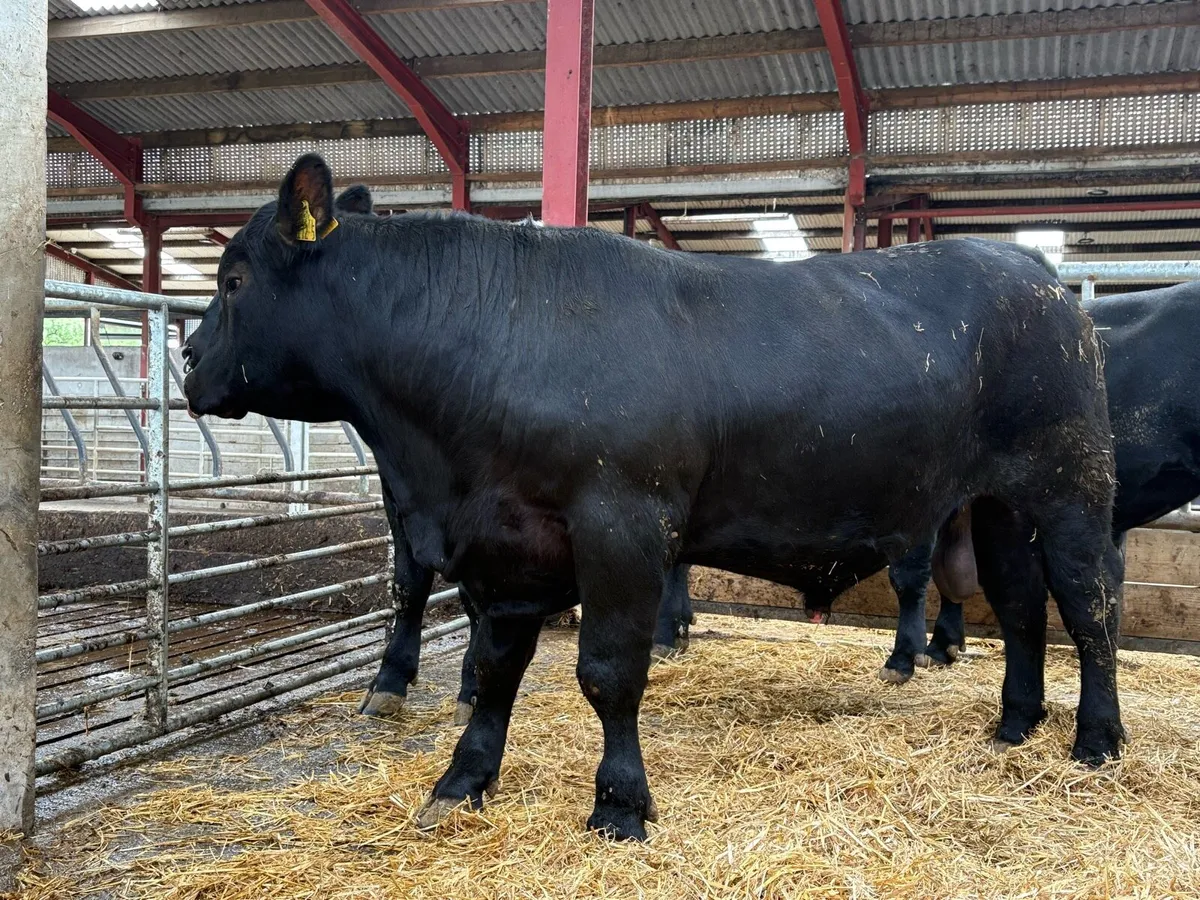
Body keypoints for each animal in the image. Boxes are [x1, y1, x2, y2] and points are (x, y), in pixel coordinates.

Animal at [183, 154, 1124, 841]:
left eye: (233, 281)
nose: (188, 360)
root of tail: (1032, 269)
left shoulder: (622, 524)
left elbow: (609, 673)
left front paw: (619, 805)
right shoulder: (505, 543)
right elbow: (491, 670)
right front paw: (461, 781)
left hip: (1071, 484)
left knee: (1089, 606)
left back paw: (1097, 740)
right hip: (997, 505)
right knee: (1022, 606)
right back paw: (1016, 724)